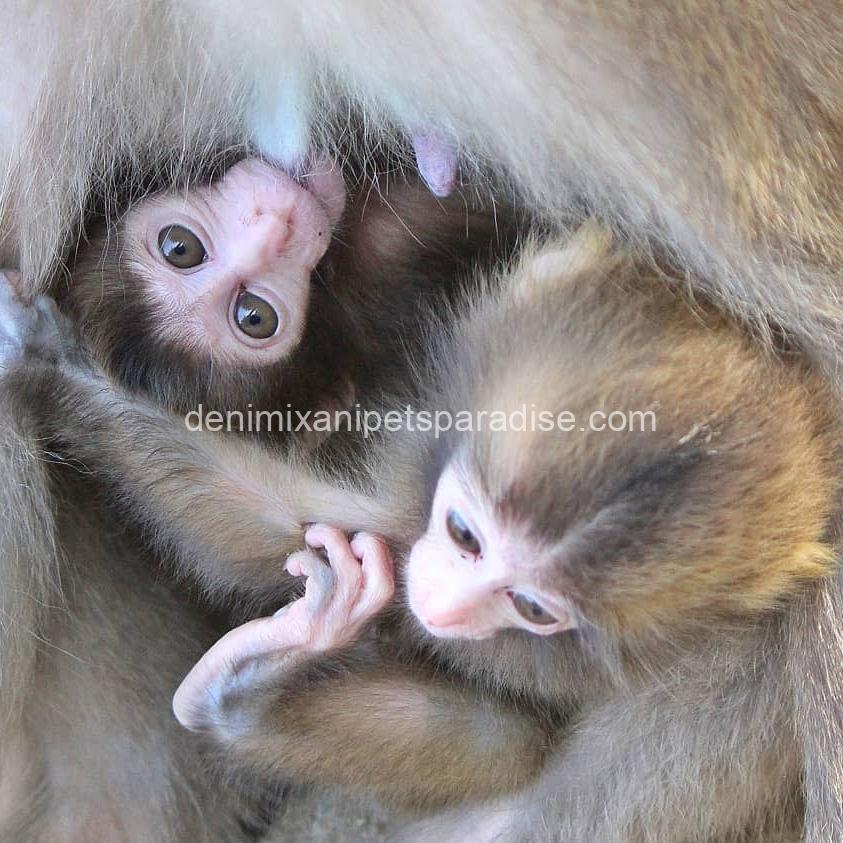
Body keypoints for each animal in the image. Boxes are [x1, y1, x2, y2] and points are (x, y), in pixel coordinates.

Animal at [6, 225, 840, 840]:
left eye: (532, 607)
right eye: (466, 533)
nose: (440, 604)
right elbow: (298, 525)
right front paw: (49, 361)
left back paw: (251, 685)